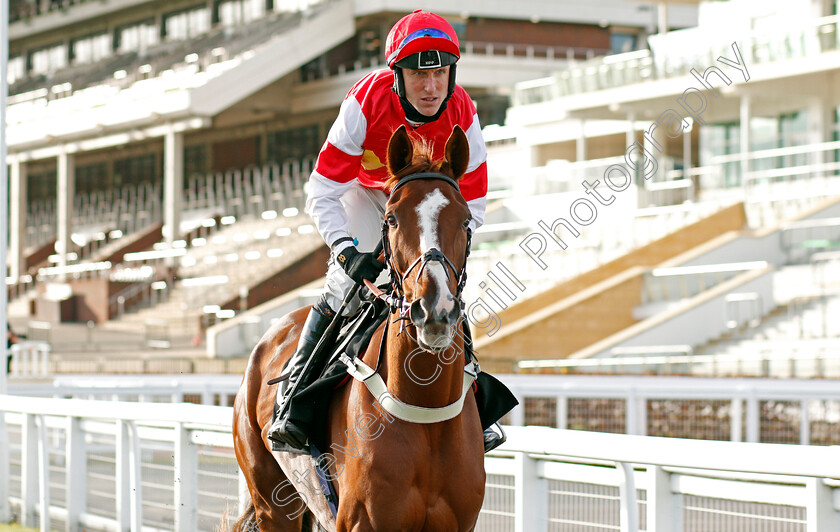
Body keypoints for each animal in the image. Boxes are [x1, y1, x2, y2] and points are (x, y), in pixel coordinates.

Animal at [233, 125, 488, 532]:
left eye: (465, 221)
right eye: (393, 218)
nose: (435, 309)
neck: (424, 409)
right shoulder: (361, 521)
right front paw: (358, 261)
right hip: (271, 500)